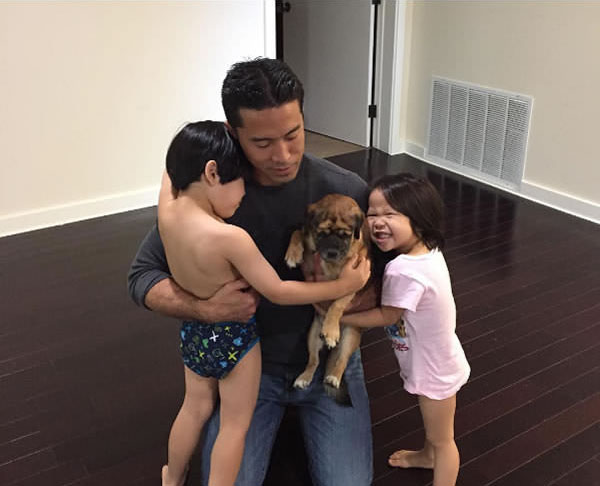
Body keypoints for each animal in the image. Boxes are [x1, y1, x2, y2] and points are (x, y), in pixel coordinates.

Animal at [285, 193, 375, 391]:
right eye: (321, 233)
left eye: (345, 235)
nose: (332, 253)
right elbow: (298, 232)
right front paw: (293, 254)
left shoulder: (354, 280)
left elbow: (338, 302)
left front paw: (331, 330)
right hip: (312, 335)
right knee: (314, 360)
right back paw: (304, 377)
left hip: (350, 336)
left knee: (342, 360)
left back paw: (333, 377)